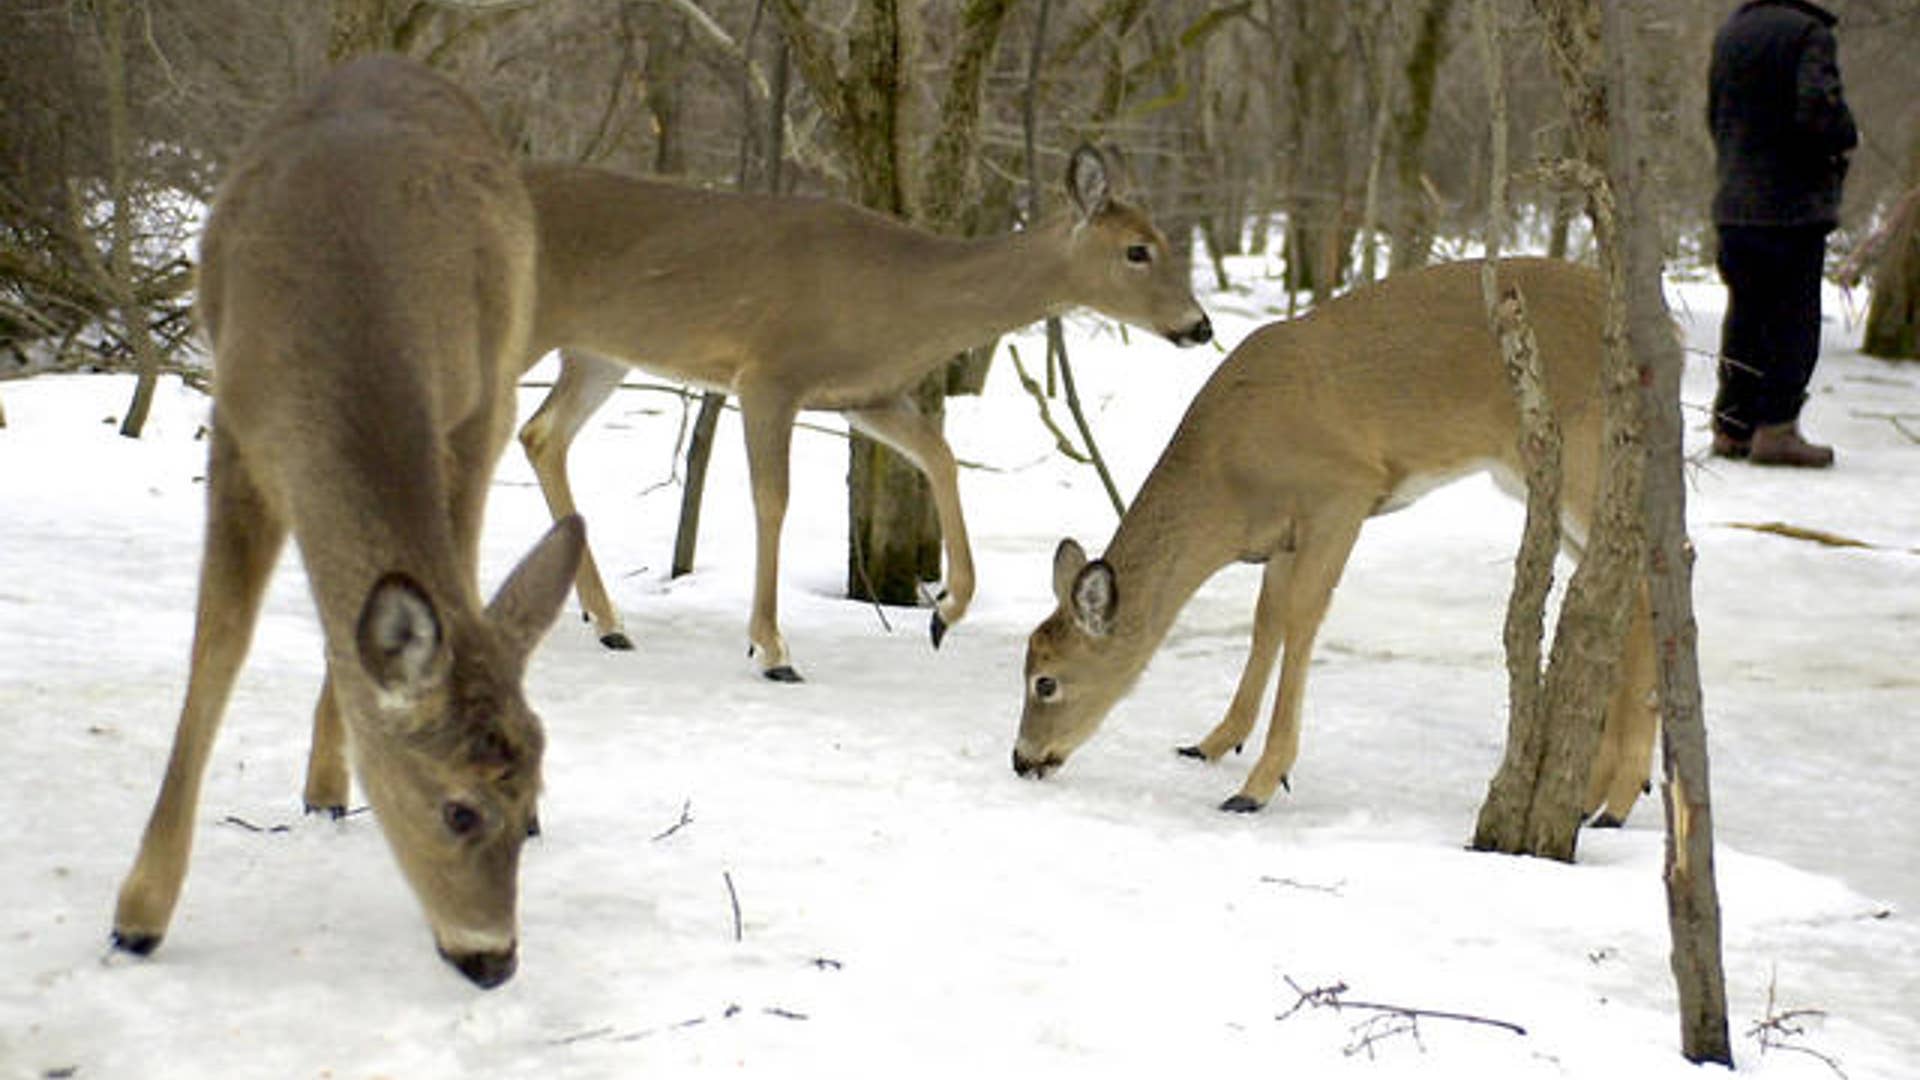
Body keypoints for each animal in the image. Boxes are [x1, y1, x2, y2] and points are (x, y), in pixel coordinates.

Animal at [109, 56, 585, 989]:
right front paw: (138, 915)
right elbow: (218, 645)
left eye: (530, 799)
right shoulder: (236, 427)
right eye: (459, 810)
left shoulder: (473, 405)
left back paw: (328, 784)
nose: (495, 959)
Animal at [513, 147, 1213, 681]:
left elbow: (942, 456)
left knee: (541, 433)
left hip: (598, 352)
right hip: (530, 331)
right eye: (1137, 250)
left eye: (1166, 242)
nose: (1200, 326)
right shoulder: (770, 375)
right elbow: (773, 499)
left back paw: (608, 622)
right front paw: (772, 649)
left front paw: (945, 611)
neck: (903, 297)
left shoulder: (866, 395)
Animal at [1012, 257, 1657, 825]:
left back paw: (1616, 800)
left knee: (1644, 591)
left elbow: (1302, 619)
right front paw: (1213, 742)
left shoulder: (1342, 494)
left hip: (1586, 461)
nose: (1022, 760)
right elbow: (1266, 620)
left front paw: (1259, 785)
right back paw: (1600, 794)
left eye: (1046, 680)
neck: (1227, 475)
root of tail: (1664, 331)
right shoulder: (1283, 535)